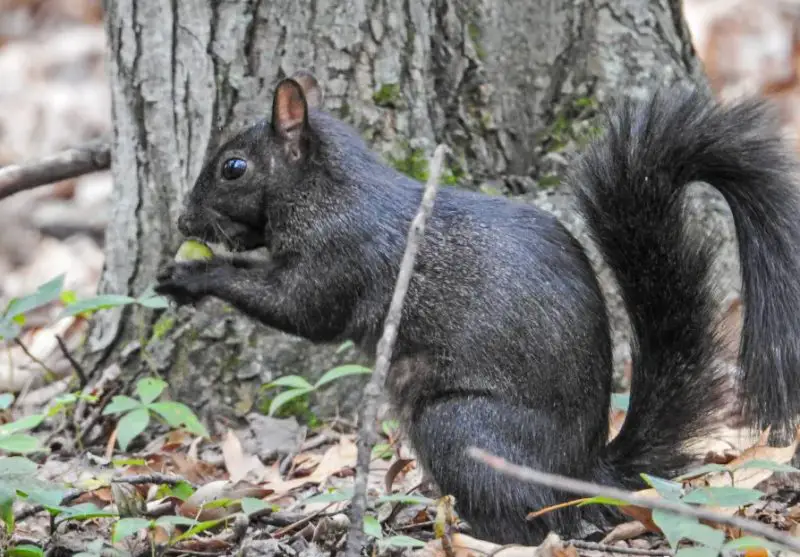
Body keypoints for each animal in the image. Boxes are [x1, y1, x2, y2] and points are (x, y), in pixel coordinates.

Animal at [155, 70, 800, 545]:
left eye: (233, 168)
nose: (183, 222)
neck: (329, 191)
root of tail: (582, 473)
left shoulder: (339, 257)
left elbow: (300, 311)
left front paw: (194, 273)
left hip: (460, 427)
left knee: (527, 522)